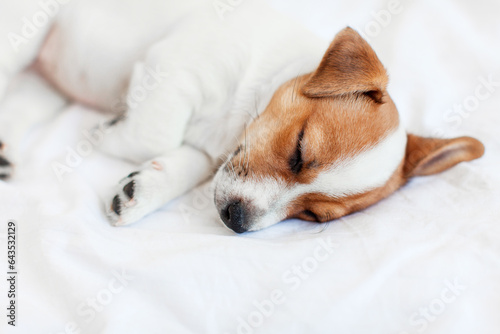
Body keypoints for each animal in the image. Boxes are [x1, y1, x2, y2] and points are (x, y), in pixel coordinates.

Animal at [0, 0, 484, 234]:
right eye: (299, 149)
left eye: (314, 217)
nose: (236, 221)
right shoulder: (173, 67)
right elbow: (156, 133)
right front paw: (111, 130)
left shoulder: (211, 149)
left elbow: (186, 160)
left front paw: (146, 187)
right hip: (25, 33)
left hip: (44, 81)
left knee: (22, 100)